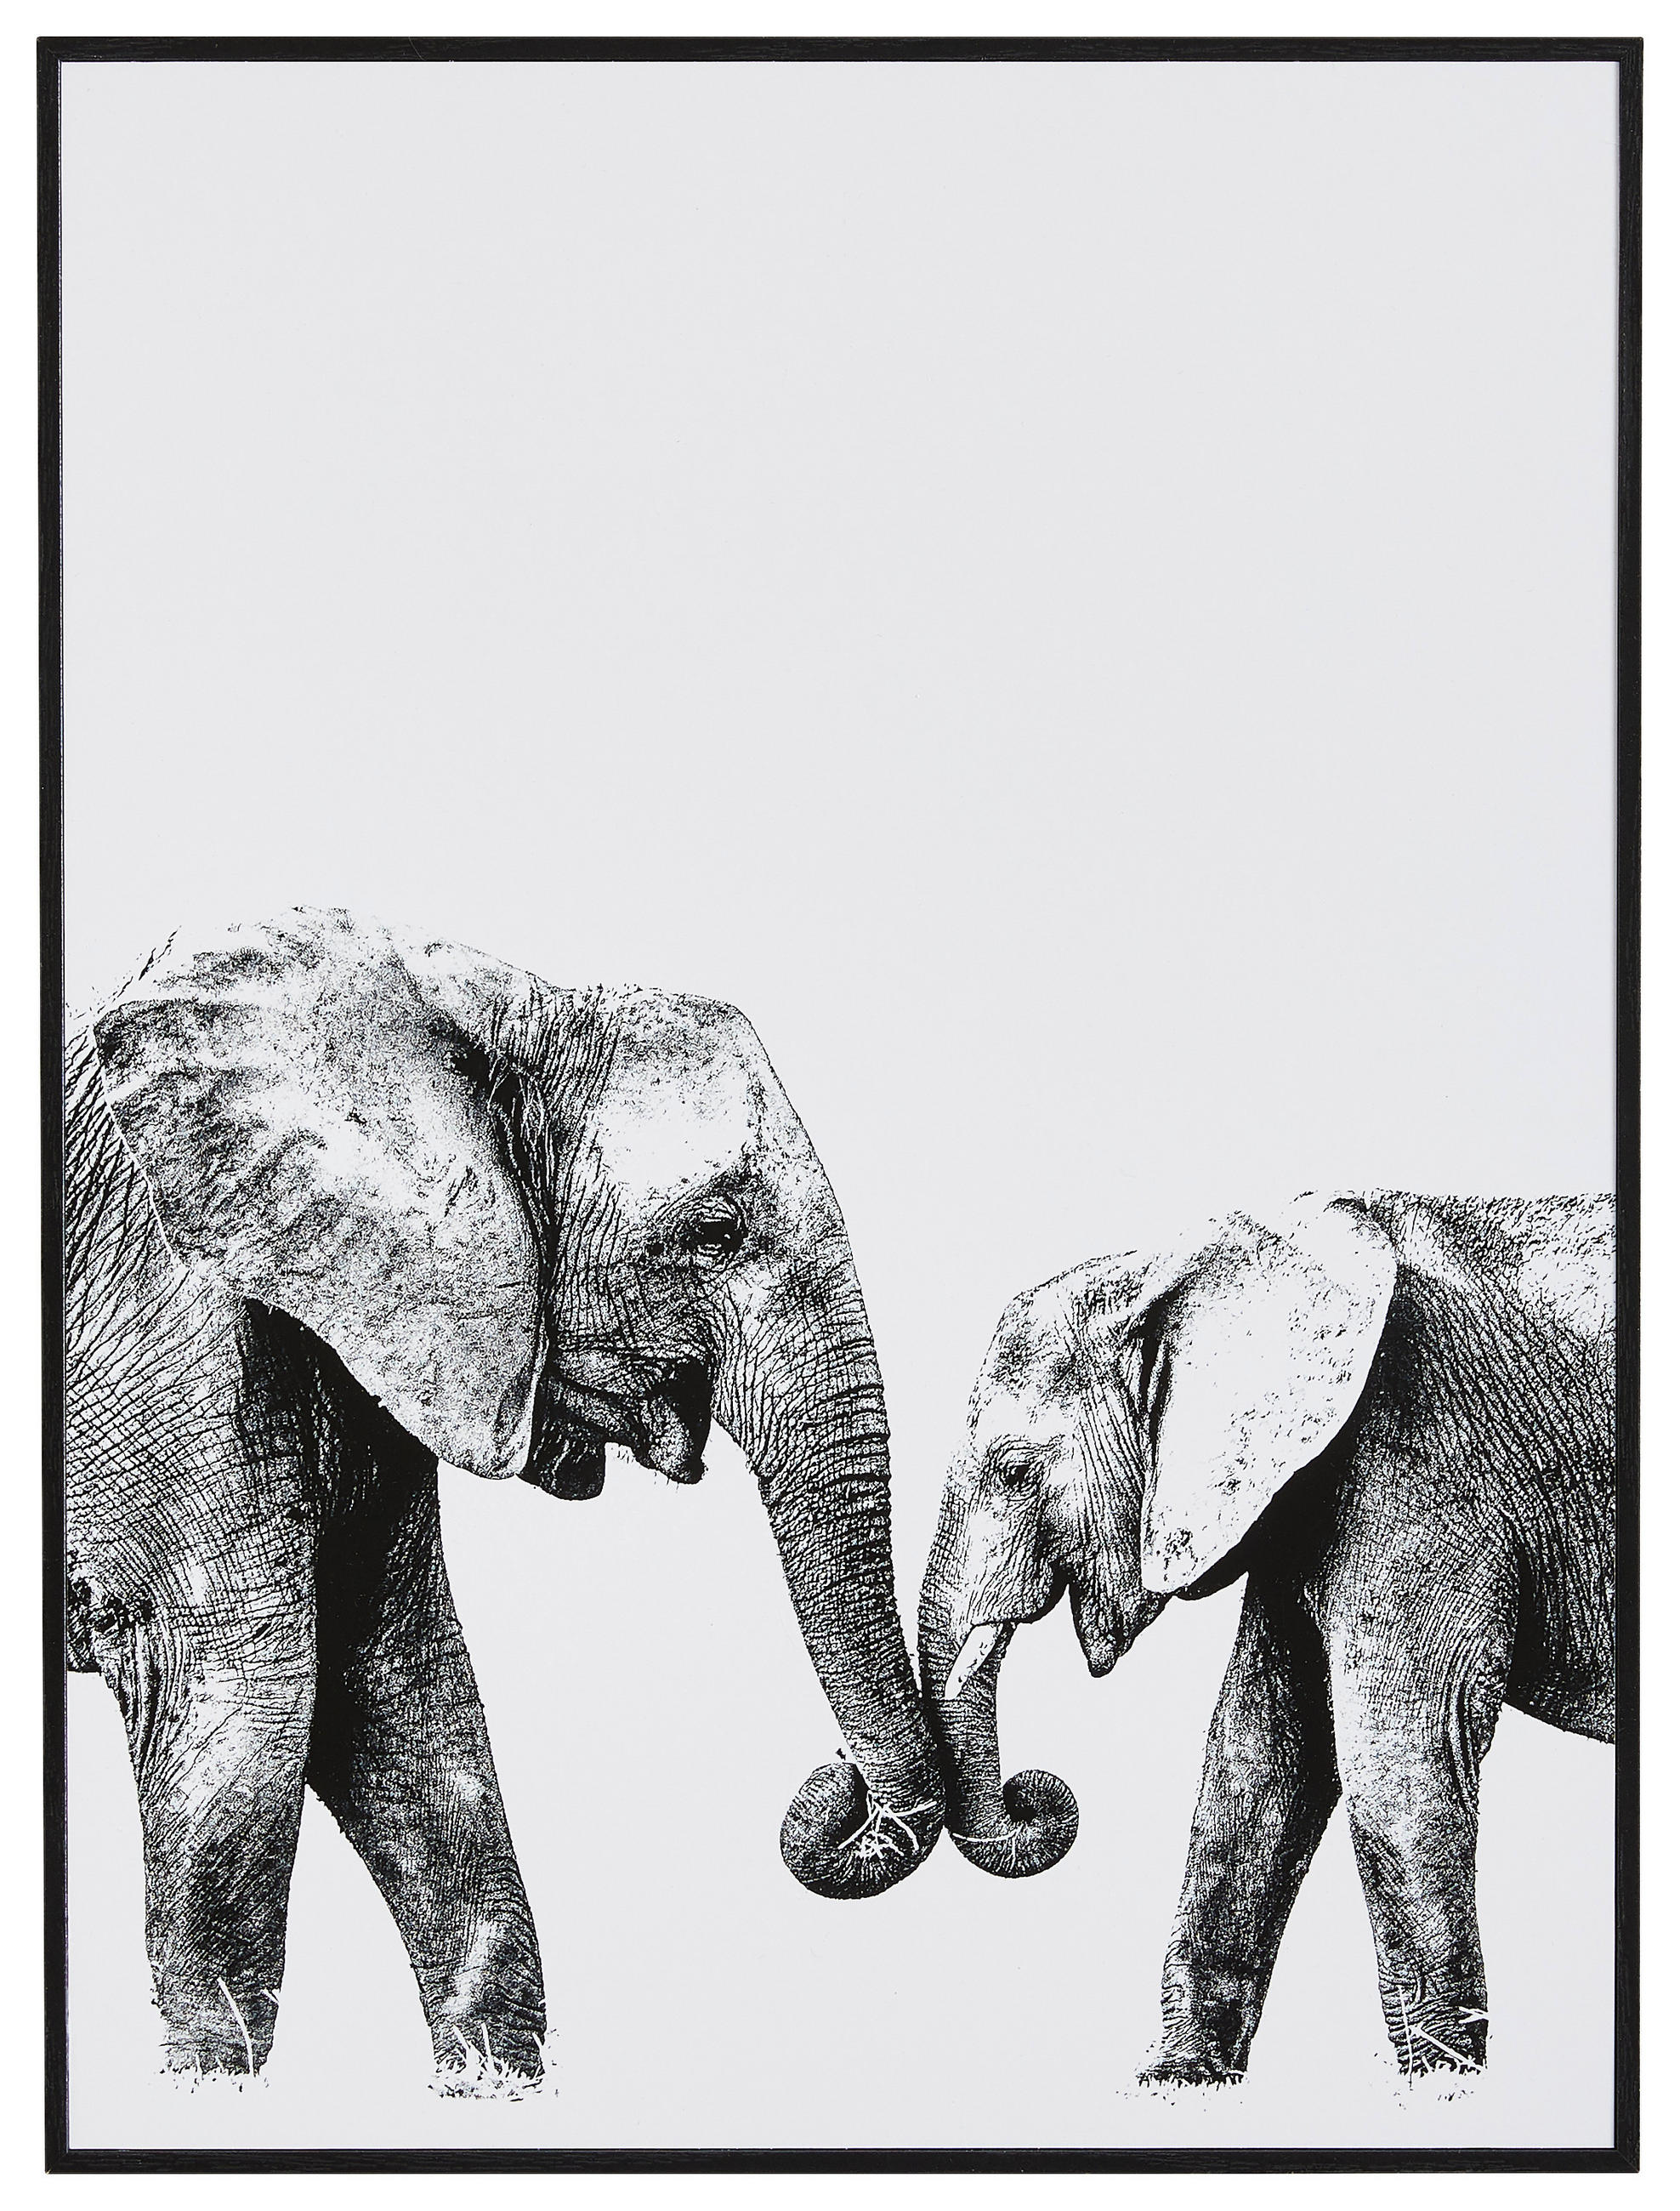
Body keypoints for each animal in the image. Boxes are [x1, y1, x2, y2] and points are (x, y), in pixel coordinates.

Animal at [64, 908, 943, 2082]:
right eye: (713, 1232)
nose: (832, 1787)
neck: (489, 1006)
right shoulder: (172, 1313)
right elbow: (245, 1688)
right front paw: (206, 2083)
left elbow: (398, 1692)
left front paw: (490, 2081)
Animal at [918, 1191, 1613, 2081]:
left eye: (1013, 1470)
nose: (1028, 1793)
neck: (1169, 1262)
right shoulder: (1305, 1492)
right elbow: (1260, 1750)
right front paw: (1176, 2083)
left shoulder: (1424, 1456)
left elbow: (1399, 1752)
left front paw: (1442, 2086)